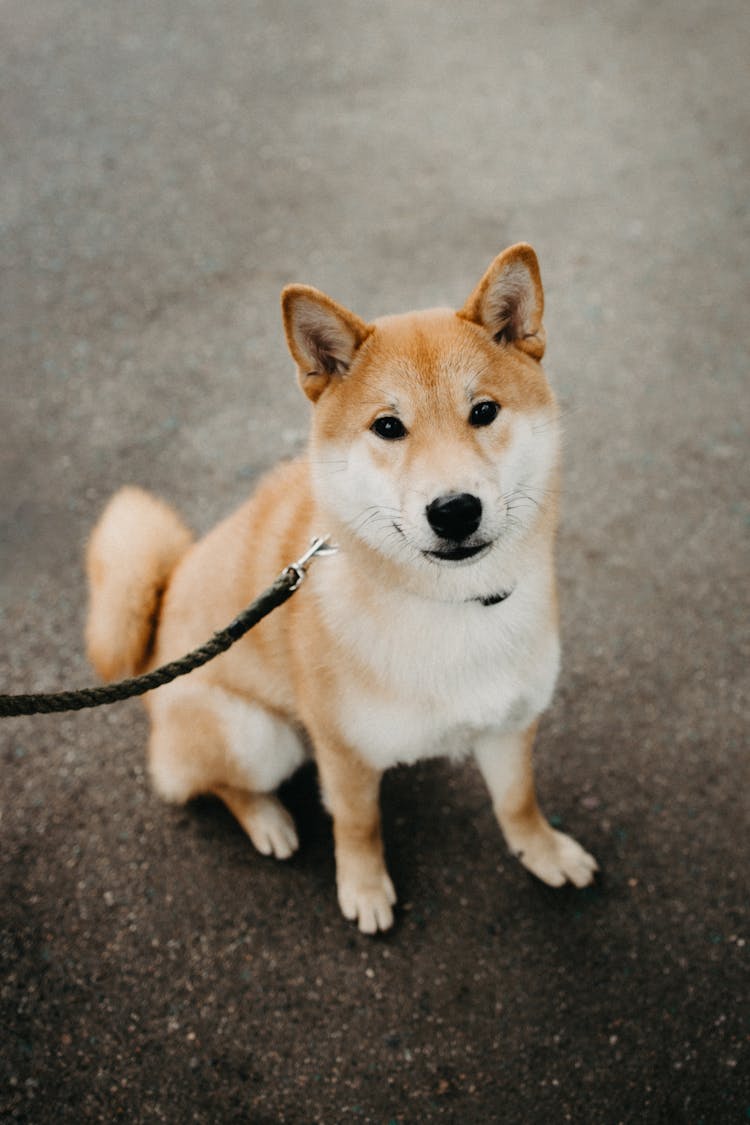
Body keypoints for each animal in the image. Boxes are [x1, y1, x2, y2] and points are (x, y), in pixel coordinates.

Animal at [84, 244, 598, 931]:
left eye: (484, 412)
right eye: (388, 427)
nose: (455, 510)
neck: (449, 606)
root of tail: (158, 625)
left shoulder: (509, 723)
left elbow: (518, 802)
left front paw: (543, 852)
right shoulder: (343, 753)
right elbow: (357, 824)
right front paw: (364, 888)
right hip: (259, 737)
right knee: (215, 785)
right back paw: (269, 820)